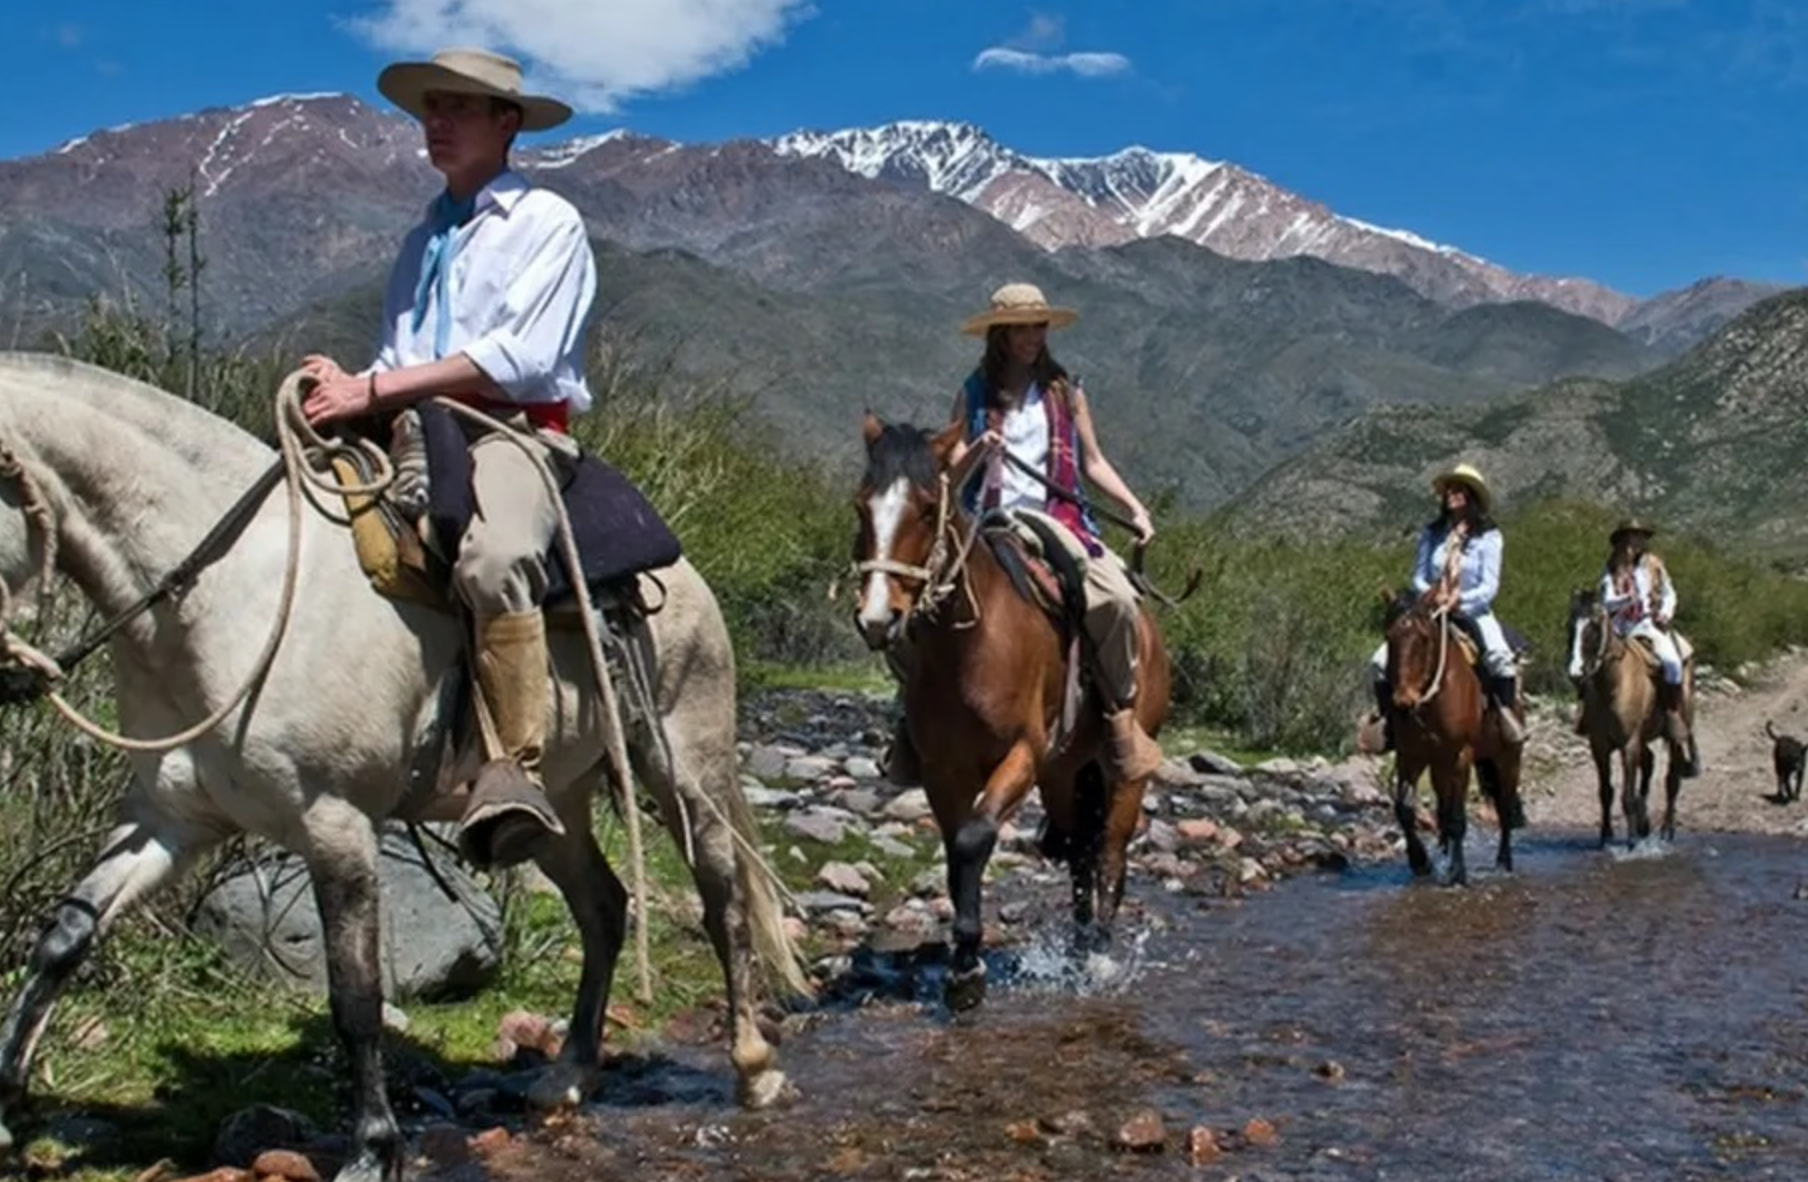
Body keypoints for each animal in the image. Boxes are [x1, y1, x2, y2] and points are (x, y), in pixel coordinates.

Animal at [0, 356, 806, 1182]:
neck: (230, 597)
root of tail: (688, 572)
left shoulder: (336, 823)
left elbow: (355, 997)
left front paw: (371, 1150)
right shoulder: (171, 819)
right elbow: (65, 934)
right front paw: (4, 1107)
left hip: (684, 764)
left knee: (722, 899)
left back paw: (754, 1066)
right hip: (555, 801)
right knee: (604, 907)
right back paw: (570, 1075)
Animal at [849, 413, 1171, 1012]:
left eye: (927, 508)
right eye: (861, 506)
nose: (879, 618)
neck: (969, 645)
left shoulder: (1022, 754)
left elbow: (975, 839)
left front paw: (967, 968)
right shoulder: (943, 770)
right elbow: (955, 850)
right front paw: (963, 962)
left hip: (1118, 770)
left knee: (1110, 853)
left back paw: (1098, 954)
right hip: (1065, 773)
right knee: (1078, 852)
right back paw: (1077, 949)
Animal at [1381, 592, 1525, 889]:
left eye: (1425, 638)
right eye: (1389, 636)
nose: (1402, 703)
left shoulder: (1461, 756)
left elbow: (1458, 818)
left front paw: (1458, 873)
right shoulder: (1410, 756)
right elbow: (1405, 810)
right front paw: (1421, 862)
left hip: (1507, 760)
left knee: (1504, 809)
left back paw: (1503, 863)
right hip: (1441, 765)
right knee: (1443, 809)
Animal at [1569, 592, 1692, 853]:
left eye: (1594, 627)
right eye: (1570, 626)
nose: (1576, 672)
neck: (1613, 685)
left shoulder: (1629, 745)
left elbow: (1627, 796)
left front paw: (1632, 841)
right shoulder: (1600, 746)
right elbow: (1606, 792)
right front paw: (1605, 837)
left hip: (1673, 736)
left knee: (1672, 780)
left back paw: (1666, 831)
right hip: (1643, 738)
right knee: (1650, 764)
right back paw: (1646, 823)